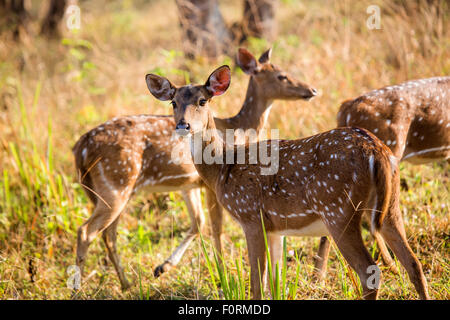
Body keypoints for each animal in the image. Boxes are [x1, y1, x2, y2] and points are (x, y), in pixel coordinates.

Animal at [72, 48, 316, 290]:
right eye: (282, 76)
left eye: (202, 101)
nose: (311, 90)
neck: (239, 130)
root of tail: (80, 148)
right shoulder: (208, 185)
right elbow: (216, 227)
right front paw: (222, 276)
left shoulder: (188, 185)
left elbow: (198, 222)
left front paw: (163, 267)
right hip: (115, 184)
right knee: (86, 231)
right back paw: (78, 287)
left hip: (112, 190)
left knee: (108, 234)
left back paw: (126, 283)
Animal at [147, 65, 428, 300]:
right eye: (173, 102)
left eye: (202, 100)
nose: (182, 125)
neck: (223, 168)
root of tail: (375, 149)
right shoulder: (275, 228)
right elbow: (274, 282)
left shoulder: (250, 216)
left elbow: (257, 284)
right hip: (390, 205)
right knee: (413, 263)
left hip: (338, 210)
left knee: (369, 271)